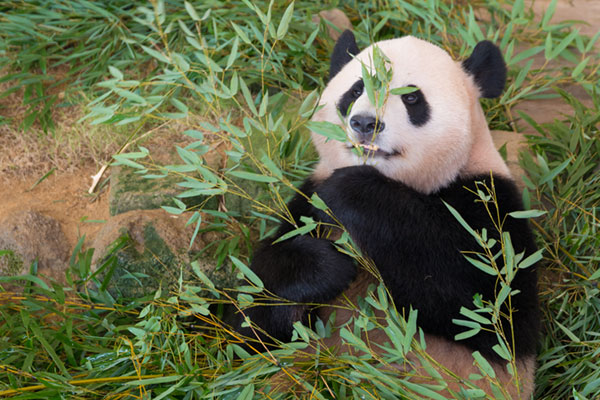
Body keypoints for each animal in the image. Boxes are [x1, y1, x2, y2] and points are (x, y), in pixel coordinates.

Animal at [237, 30, 540, 396]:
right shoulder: (306, 204)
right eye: (355, 90)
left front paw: (352, 189)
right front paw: (328, 266)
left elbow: (484, 306)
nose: (365, 123)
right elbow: (251, 321)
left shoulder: (492, 205)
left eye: (411, 98)